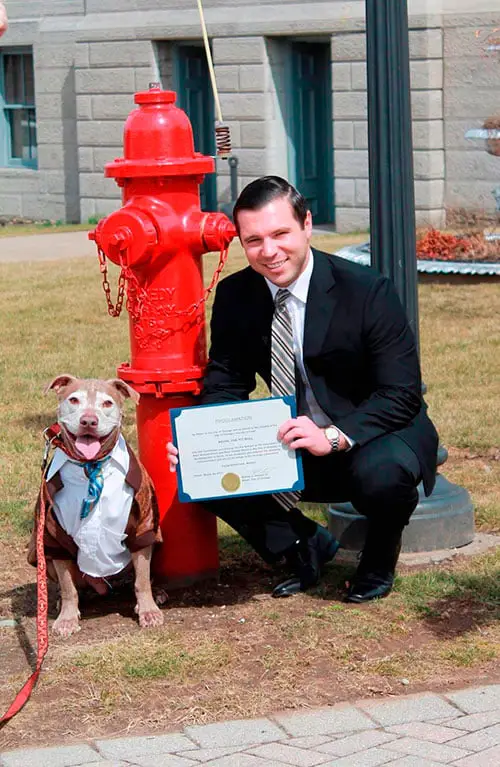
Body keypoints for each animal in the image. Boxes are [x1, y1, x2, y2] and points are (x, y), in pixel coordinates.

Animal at [27, 376, 164, 636]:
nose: (89, 420)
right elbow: (68, 587)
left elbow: (142, 579)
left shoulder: (143, 525)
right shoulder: (52, 533)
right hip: (42, 557)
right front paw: (67, 618)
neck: (90, 464)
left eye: (107, 402)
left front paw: (149, 611)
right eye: (73, 399)